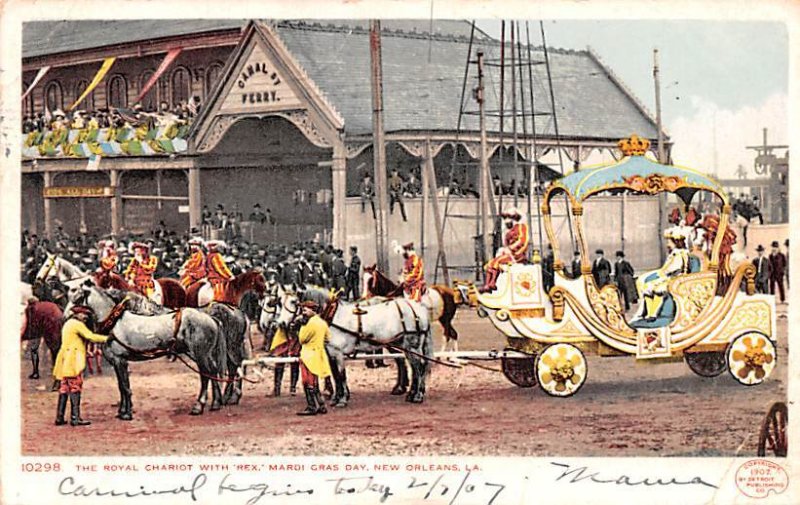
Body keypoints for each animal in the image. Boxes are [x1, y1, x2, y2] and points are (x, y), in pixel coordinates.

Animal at [278, 288, 434, 406]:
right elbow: (335, 375)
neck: (333, 316)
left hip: (413, 345)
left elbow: (341, 375)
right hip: (406, 346)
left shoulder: (337, 353)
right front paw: (336, 398)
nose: (281, 324)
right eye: (279, 302)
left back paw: (418, 396)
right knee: (414, 367)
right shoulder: (330, 353)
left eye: (294, 302)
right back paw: (411, 394)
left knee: (419, 367)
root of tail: (419, 309)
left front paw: (342, 400)